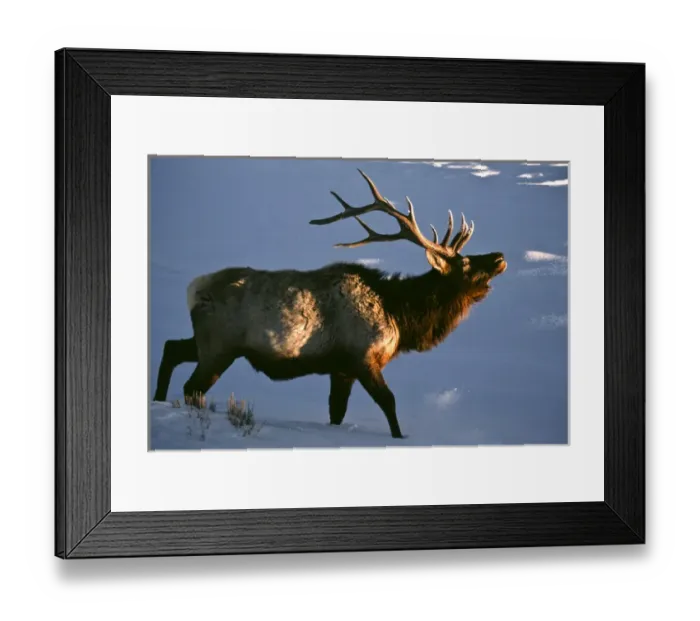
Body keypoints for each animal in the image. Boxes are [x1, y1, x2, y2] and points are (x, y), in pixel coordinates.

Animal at [153, 170, 507, 438]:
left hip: (208, 342)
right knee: (192, 386)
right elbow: (389, 403)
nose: (500, 256)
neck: (400, 315)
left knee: (171, 347)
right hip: (220, 346)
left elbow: (336, 412)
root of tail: (194, 288)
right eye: (465, 264)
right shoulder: (363, 358)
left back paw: (157, 401)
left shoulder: (341, 369)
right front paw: (400, 437)